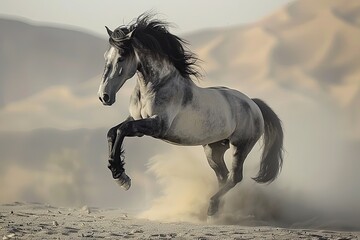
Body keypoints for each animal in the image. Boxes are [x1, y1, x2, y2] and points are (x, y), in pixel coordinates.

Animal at [97, 14, 284, 218]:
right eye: (106, 56)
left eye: (121, 57)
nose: (104, 96)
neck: (157, 86)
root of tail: (253, 103)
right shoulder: (137, 122)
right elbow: (112, 132)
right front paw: (118, 173)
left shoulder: (157, 125)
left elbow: (121, 130)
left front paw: (121, 176)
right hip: (213, 149)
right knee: (223, 176)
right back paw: (216, 210)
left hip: (240, 146)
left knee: (235, 177)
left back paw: (211, 206)